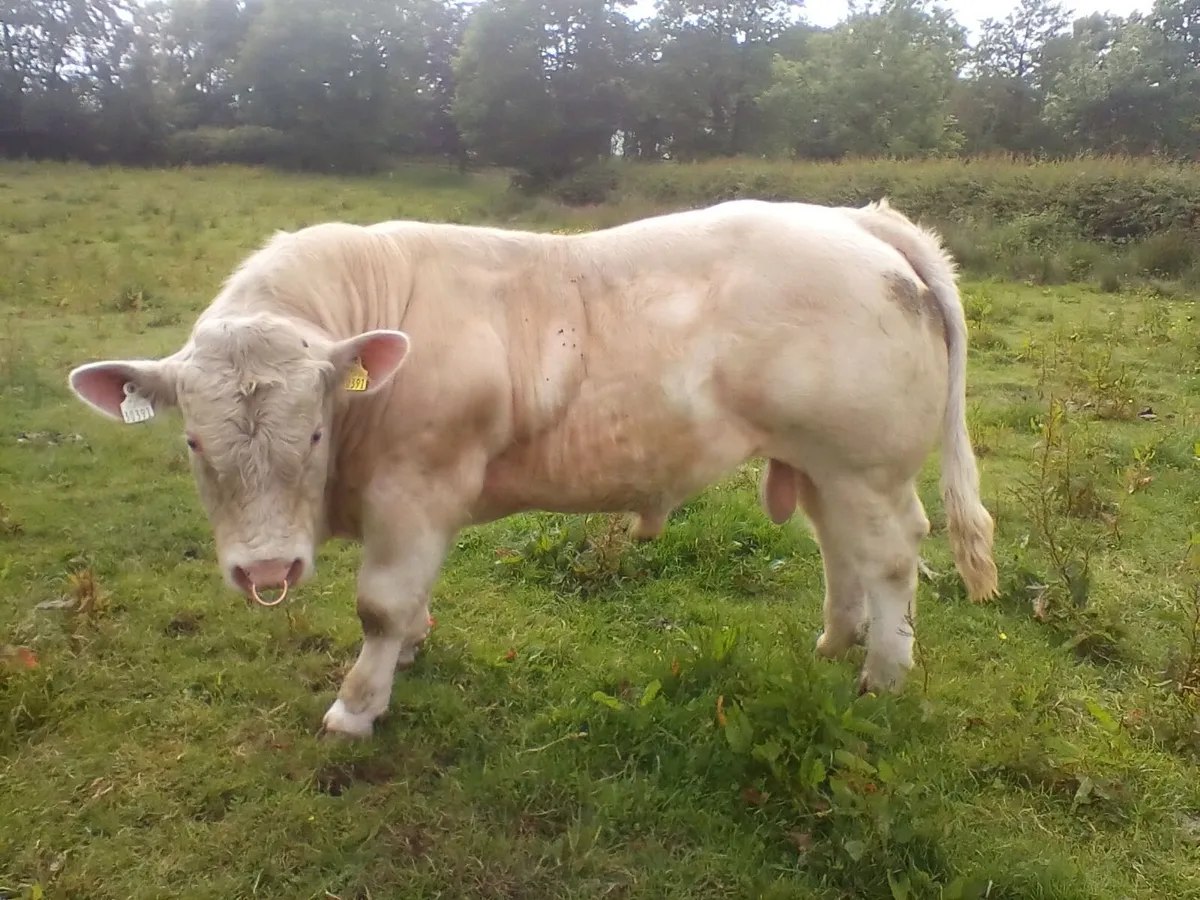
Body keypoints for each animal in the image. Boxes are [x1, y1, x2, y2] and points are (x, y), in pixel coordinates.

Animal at [66, 197, 999, 739]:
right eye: (194, 441)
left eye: (317, 434)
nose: (267, 570)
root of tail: (856, 218)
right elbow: (408, 606)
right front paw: (410, 651)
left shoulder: (415, 489)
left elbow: (380, 605)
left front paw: (356, 706)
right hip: (819, 461)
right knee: (840, 547)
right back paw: (836, 641)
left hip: (865, 462)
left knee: (889, 557)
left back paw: (882, 677)